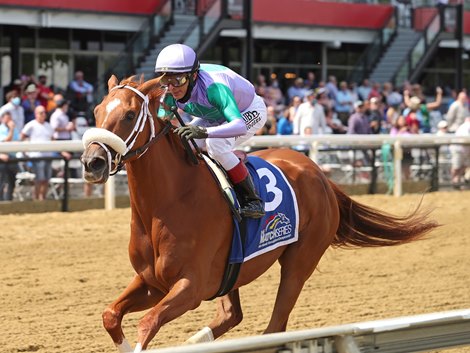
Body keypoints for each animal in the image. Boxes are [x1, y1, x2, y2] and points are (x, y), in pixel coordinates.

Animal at [80, 75, 436, 350]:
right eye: (96, 111)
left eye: (129, 115)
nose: (91, 162)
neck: (167, 204)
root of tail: (318, 173)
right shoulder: (152, 281)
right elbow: (110, 316)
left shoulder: (190, 286)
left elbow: (148, 323)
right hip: (231, 271)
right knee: (232, 314)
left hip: (299, 261)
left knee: (274, 326)